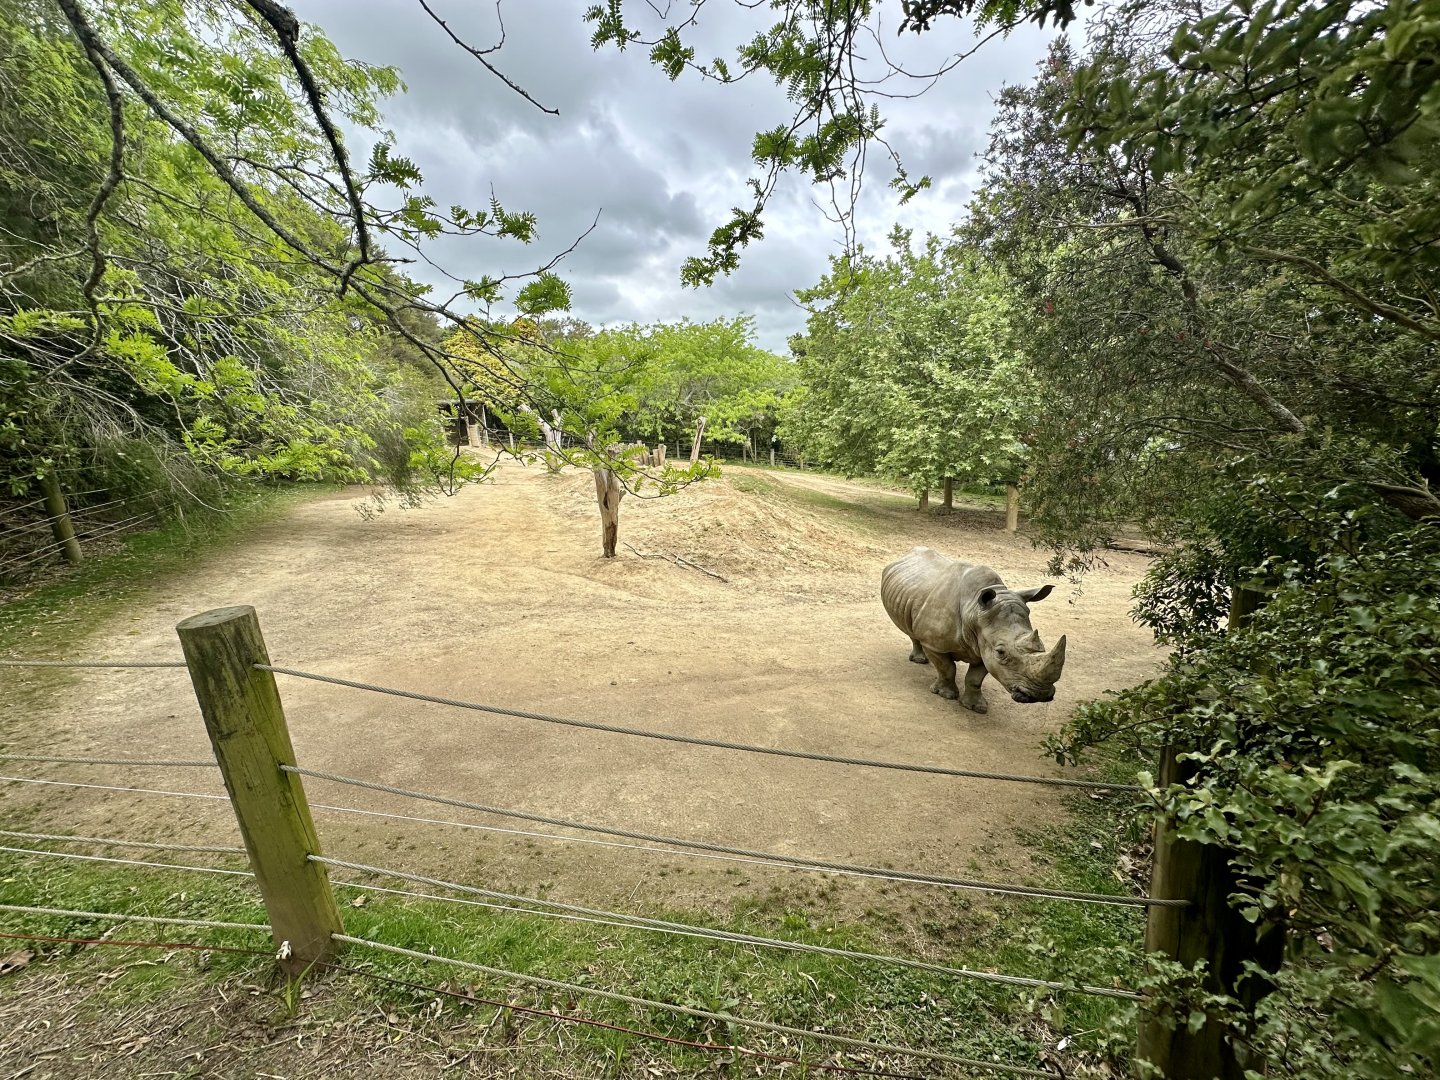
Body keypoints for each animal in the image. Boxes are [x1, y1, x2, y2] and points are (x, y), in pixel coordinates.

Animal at [880, 546, 1067, 713]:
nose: (1040, 695)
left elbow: (975, 679)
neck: (974, 611)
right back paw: (919, 660)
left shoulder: (984, 647)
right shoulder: (935, 645)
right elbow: (947, 668)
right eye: (1001, 652)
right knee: (911, 630)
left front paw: (975, 707)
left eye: (1042, 645)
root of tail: (908, 553)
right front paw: (945, 695)